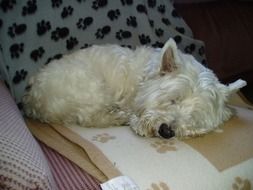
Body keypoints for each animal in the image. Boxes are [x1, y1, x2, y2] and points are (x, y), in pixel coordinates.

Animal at [22, 38, 246, 139]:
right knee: (89, 118)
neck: (141, 80)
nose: (166, 131)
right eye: (173, 99)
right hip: (91, 85)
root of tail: (32, 99)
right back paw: (118, 116)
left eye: (195, 116)